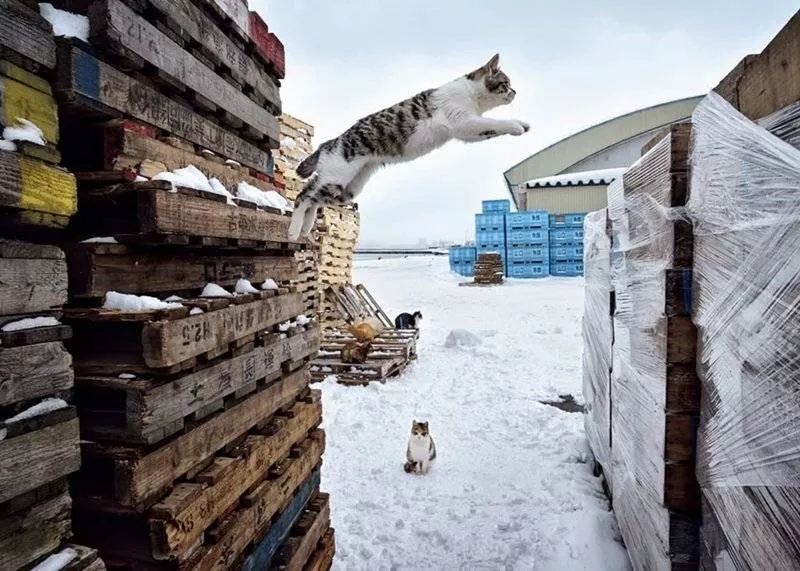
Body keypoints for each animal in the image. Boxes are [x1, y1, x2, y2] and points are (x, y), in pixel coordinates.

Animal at [290, 54, 532, 239]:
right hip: (338, 175)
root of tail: (330, 142)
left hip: (348, 188)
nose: (515, 92)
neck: (472, 95)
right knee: (303, 196)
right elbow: (496, 123)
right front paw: (515, 126)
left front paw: (523, 123)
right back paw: (294, 231)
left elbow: (491, 127)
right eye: (506, 84)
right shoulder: (464, 123)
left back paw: (306, 227)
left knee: (313, 197)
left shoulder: (470, 131)